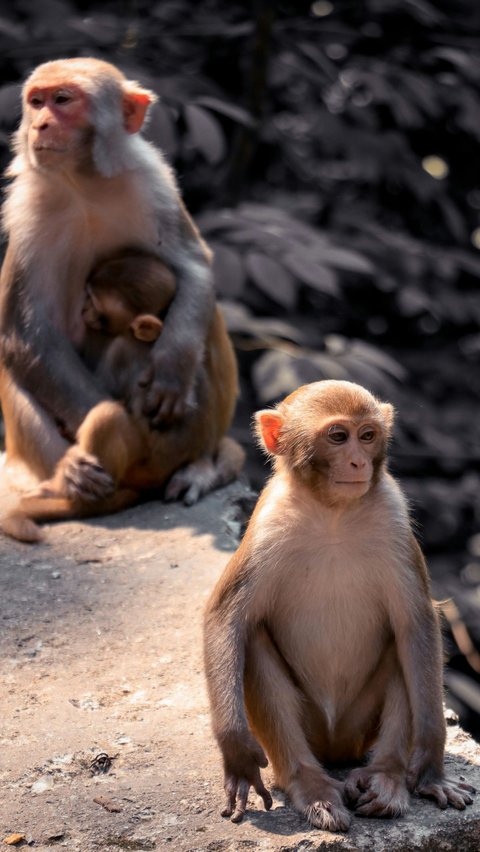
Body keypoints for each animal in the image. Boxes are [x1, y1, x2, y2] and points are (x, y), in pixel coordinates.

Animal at [0, 60, 229, 510]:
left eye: (63, 100)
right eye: (36, 101)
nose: (40, 124)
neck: (84, 183)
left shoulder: (154, 183)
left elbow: (195, 267)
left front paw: (173, 370)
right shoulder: (24, 210)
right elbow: (27, 333)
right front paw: (107, 443)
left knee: (204, 321)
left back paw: (198, 466)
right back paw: (63, 479)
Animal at [2, 248, 244, 540]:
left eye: (97, 307)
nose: (83, 311)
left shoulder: (119, 349)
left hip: (142, 465)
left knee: (108, 417)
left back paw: (68, 492)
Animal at [203, 382, 476, 832]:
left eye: (367, 435)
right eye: (337, 436)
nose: (358, 461)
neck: (332, 514)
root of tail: (334, 750)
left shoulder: (393, 516)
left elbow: (416, 624)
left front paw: (430, 768)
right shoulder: (267, 524)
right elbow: (227, 619)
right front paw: (237, 751)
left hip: (357, 730)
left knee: (402, 646)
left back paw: (386, 778)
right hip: (313, 731)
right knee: (254, 640)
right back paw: (310, 786)